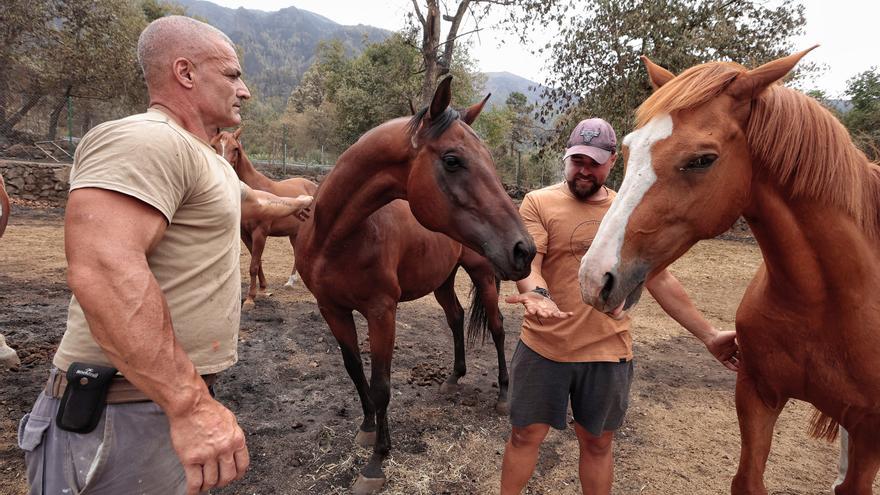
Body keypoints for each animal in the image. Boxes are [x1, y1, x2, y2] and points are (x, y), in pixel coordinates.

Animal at [208, 130, 318, 312]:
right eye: (213, 145)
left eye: (235, 148)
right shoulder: (245, 234)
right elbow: (257, 261)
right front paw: (263, 288)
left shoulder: (260, 233)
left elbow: (253, 265)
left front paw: (250, 299)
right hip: (294, 234)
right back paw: (291, 281)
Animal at [294, 77, 536, 492]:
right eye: (452, 160)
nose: (525, 250)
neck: (335, 237)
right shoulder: (332, 310)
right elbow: (354, 369)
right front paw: (367, 428)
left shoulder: (381, 313)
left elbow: (381, 384)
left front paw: (376, 462)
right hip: (441, 280)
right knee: (455, 317)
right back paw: (453, 378)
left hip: (483, 275)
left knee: (498, 329)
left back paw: (503, 395)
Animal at [576, 48, 880, 494]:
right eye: (629, 149)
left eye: (702, 160)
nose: (594, 278)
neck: (826, 302)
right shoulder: (756, 394)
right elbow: (748, 479)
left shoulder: (869, 430)